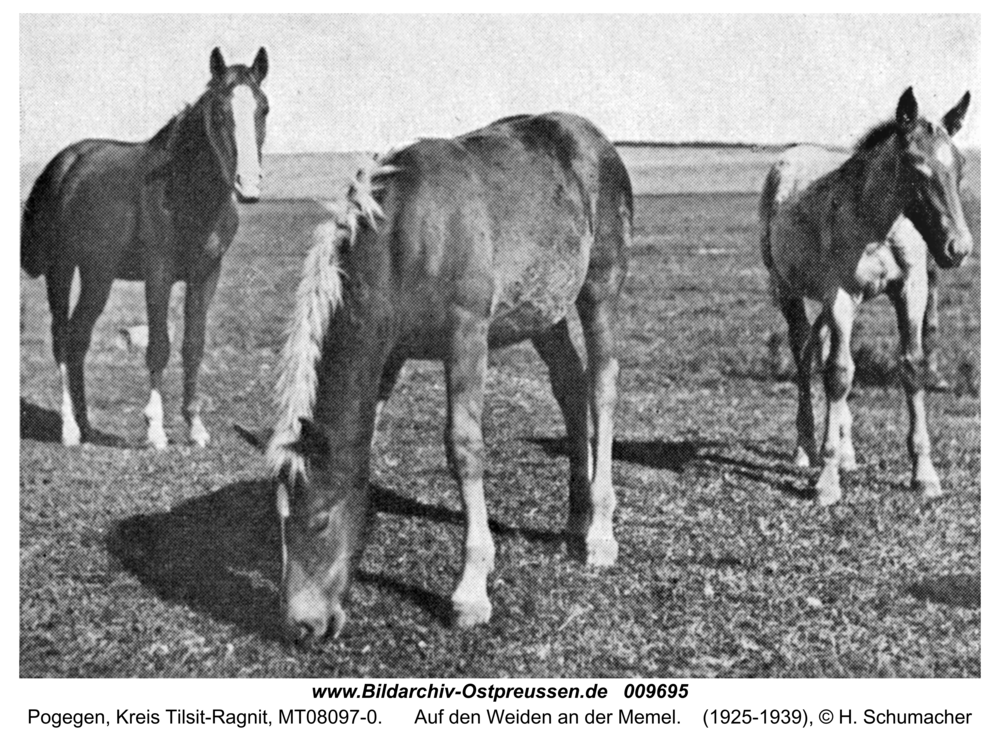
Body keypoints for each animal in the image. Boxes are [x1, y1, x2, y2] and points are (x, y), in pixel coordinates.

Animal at [20, 50, 270, 454]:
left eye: (263, 108)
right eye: (220, 112)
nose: (248, 184)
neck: (185, 190)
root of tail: (65, 164)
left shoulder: (206, 274)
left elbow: (193, 345)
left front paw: (196, 427)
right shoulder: (159, 274)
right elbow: (159, 347)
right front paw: (155, 430)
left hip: (98, 274)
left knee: (78, 338)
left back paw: (87, 425)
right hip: (62, 268)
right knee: (60, 337)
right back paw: (70, 428)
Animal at [240, 112, 632, 640]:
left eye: (319, 520)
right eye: (278, 521)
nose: (302, 626)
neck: (406, 233)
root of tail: (593, 137)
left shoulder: (467, 336)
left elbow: (463, 446)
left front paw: (471, 590)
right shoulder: (388, 354)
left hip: (599, 288)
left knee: (601, 388)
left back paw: (599, 531)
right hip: (542, 310)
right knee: (570, 386)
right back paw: (576, 516)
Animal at [760, 87, 972, 506]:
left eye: (959, 166)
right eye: (916, 167)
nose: (958, 248)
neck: (878, 222)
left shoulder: (911, 290)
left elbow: (911, 368)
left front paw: (924, 475)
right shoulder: (840, 294)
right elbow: (840, 374)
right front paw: (826, 482)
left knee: (822, 347)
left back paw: (846, 453)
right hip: (789, 291)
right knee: (804, 354)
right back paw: (806, 447)